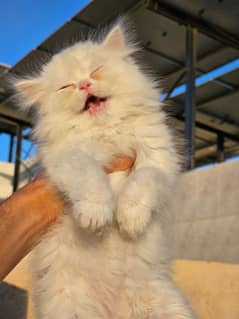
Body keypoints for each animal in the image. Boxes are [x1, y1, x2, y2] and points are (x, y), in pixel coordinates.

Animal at [14, 23, 195, 319]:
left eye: (96, 70)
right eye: (66, 87)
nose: (84, 85)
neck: (108, 133)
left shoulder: (158, 159)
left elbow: (143, 182)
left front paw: (130, 219)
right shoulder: (69, 158)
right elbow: (91, 180)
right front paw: (96, 216)